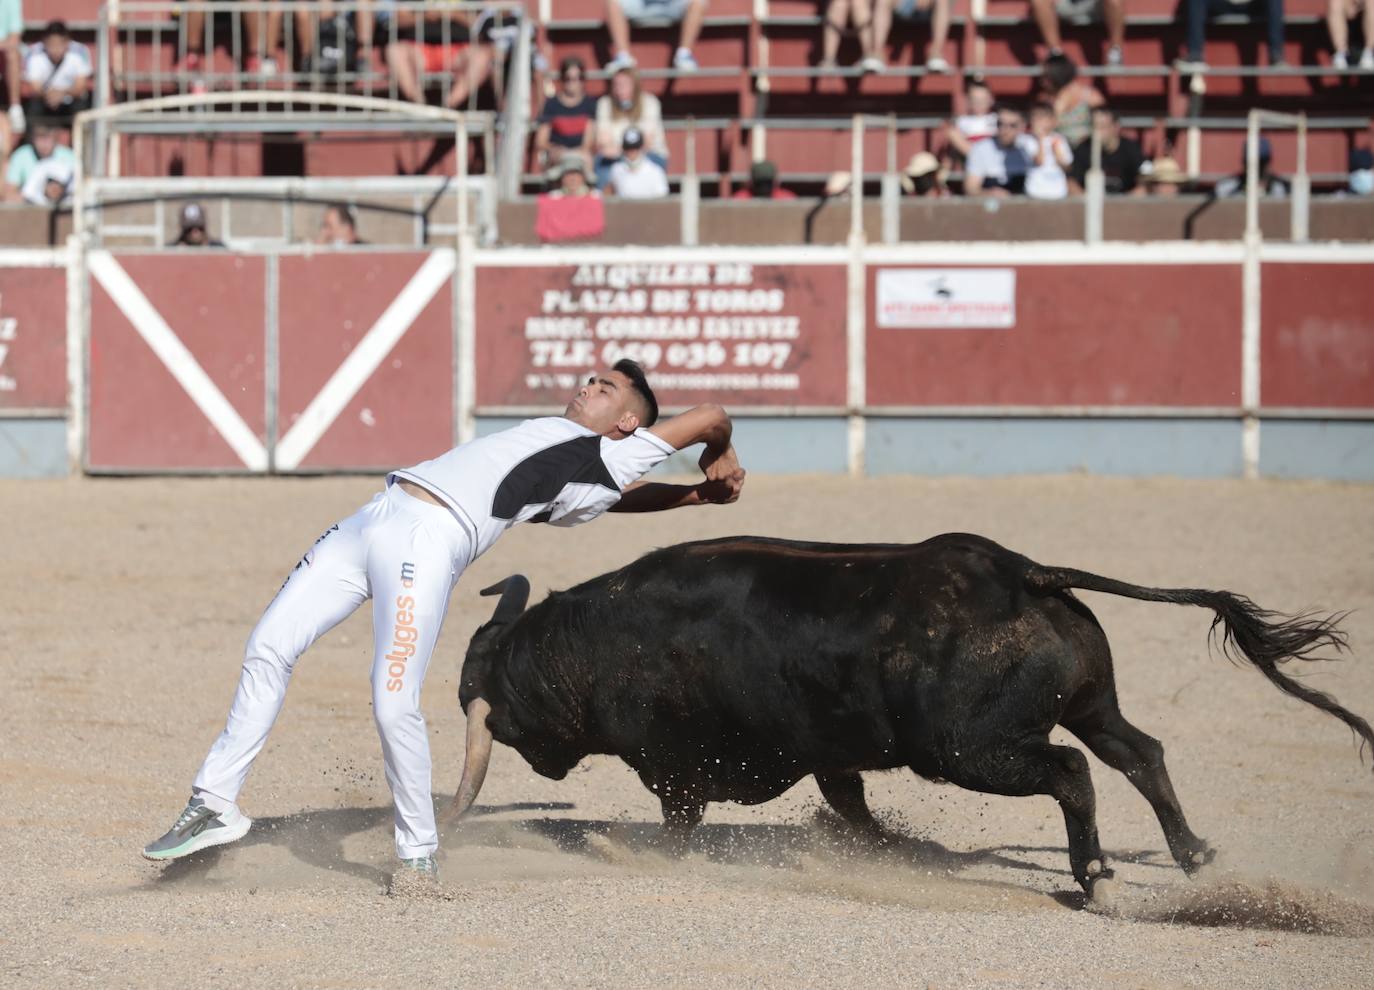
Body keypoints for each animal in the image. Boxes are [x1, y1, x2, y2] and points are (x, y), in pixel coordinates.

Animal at [445, 532, 1368, 895]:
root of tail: (1021, 572)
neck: (598, 643)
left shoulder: (677, 767)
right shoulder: (827, 753)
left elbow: (680, 818)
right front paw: (894, 852)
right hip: (1089, 705)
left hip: (968, 749)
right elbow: (851, 805)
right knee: (1138, 751)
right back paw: (1194, 853)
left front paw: (645, 855)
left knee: (1070, 770)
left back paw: (1095, 872)